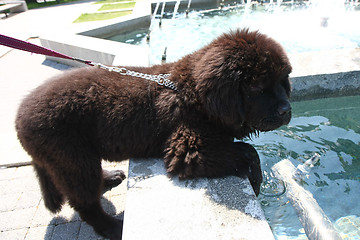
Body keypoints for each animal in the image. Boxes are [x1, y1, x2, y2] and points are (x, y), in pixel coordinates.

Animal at [16, 29, 292, 239]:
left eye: (283, 81)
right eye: (257, 87)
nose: (287, 110)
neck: (192, 93)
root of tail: (19, 117)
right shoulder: (189, 150)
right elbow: (248, 151)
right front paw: (256, 180)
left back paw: (109, 178)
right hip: (71, 157)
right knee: (85, 202)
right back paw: (112, 227)